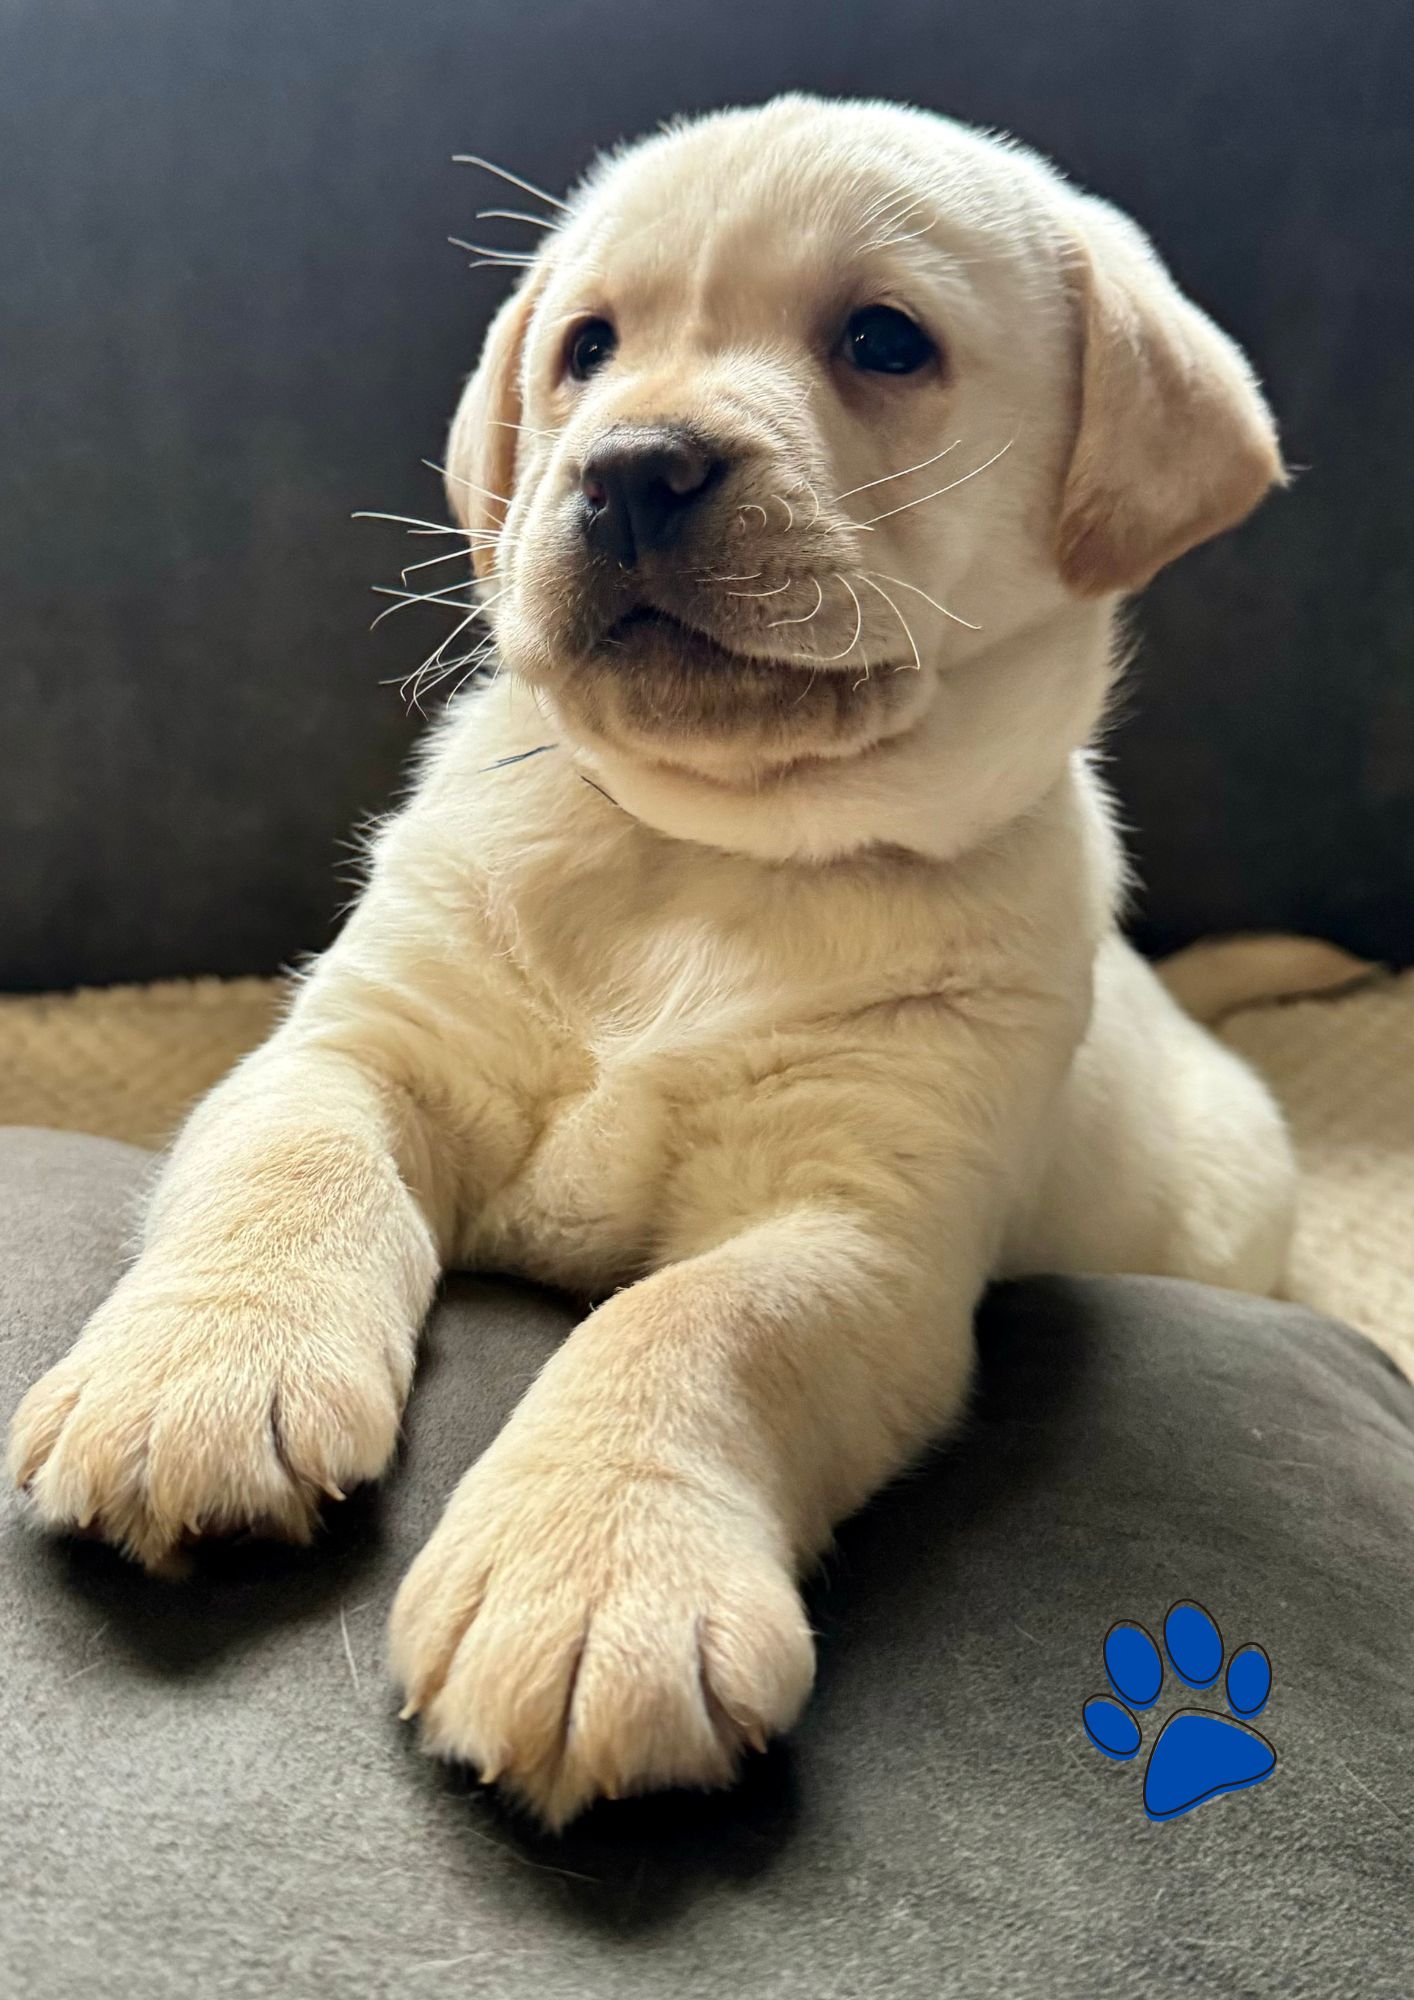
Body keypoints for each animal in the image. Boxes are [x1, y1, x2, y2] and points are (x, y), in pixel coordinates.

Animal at [8, 105, 1296, 1832]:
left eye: (883, 340)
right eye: (587, 349)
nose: (628, 467)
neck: (703, 856)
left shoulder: (855, 1224)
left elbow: (688, 1323)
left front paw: (597, 1577)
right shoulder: (351, 1044)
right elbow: (293, 1166)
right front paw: (199, 1376)